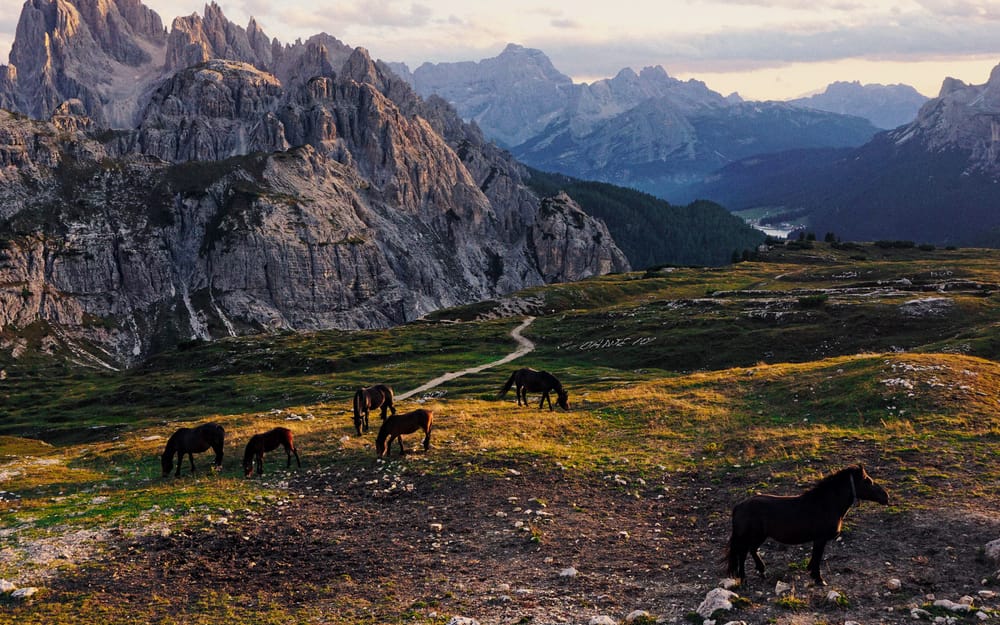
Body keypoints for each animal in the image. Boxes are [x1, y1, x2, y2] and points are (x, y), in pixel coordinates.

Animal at [723, 464, 889, 586]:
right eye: (868, 481)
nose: (886, 496)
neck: (825, 504)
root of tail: (739, 506)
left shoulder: (818, 540)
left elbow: (814, 558)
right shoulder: (820, 539)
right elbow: (817, 558)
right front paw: (819, 579)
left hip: (759, 536)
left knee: (751, 550)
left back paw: (762, 571)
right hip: (750, 536)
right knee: (743, 554)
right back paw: (744, 579)